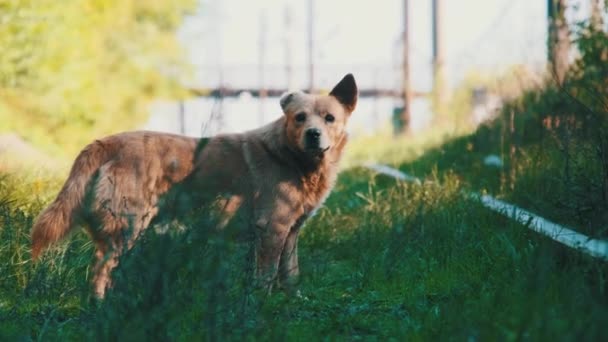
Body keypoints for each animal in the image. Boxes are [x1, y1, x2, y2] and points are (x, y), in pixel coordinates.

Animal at [30, 74, 358, 296]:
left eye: (329, 118)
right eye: (300, 117)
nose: (313, 134)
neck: (292, 158)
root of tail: (106, 142)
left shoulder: (290, 233)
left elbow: (290, 273)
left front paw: (291, 300)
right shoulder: (272, 230)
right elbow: (265, 277)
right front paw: (263, 306)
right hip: (127, 227)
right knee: (99, 271)